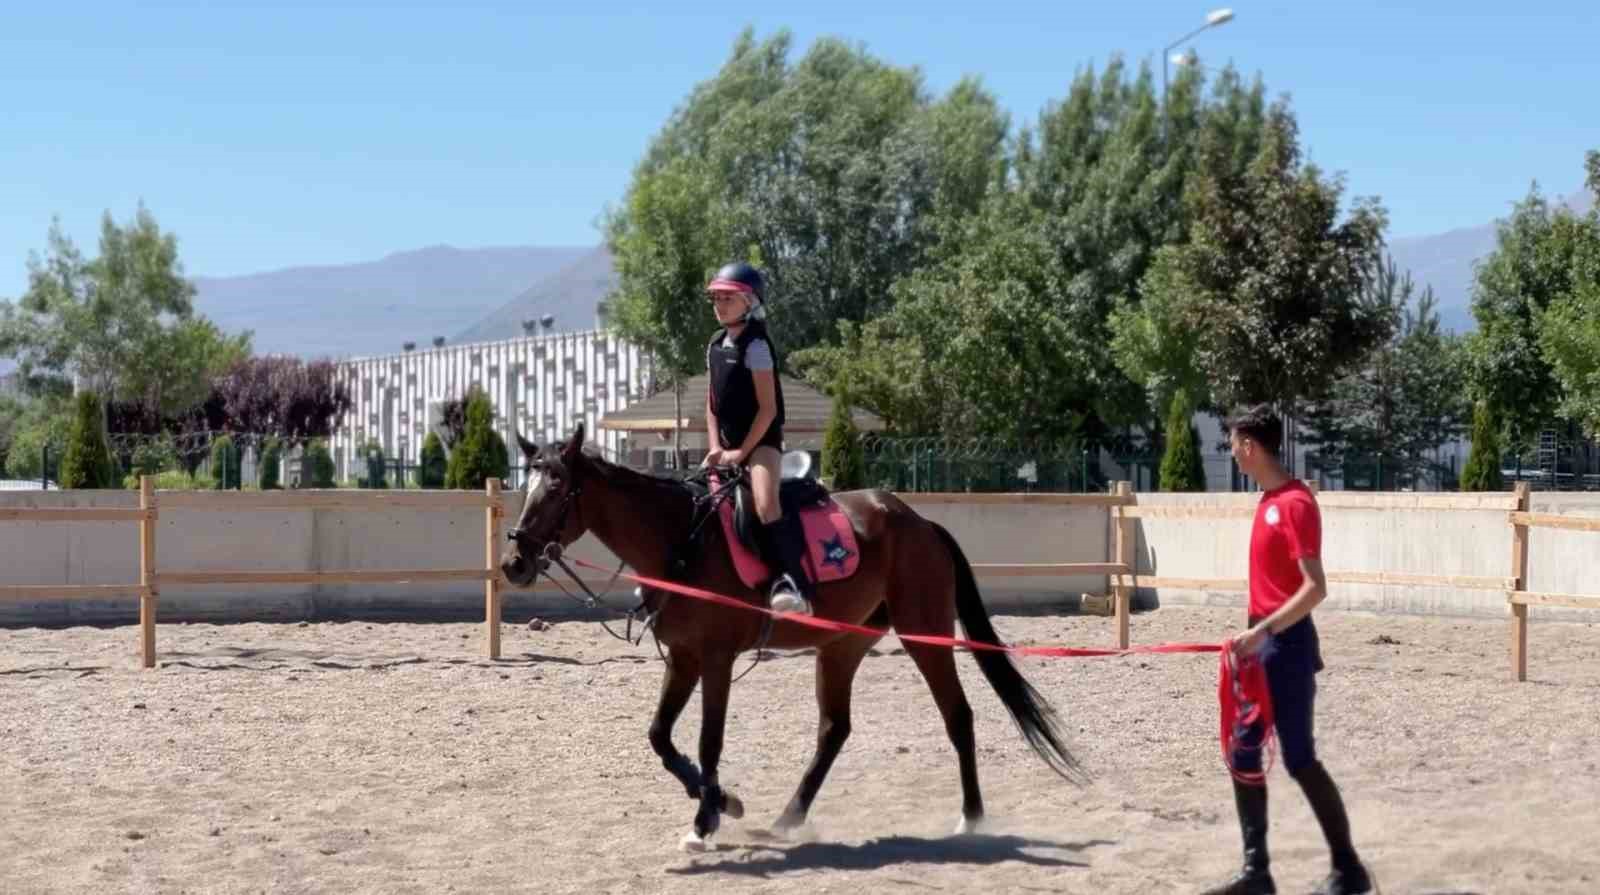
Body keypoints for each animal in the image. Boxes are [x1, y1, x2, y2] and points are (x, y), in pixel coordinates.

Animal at [499, 422, 1075, 851]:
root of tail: (918, 521)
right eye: (526, 488)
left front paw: (707, 819)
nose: (513, 562)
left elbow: (708, 740)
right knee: (834, 729)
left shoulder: (715, 658)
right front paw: (722, 803)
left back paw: (971, 819)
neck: (681, 539)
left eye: (556, 490)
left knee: (958, 716)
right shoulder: (683, 658)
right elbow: (660, 736)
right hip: (842, 645)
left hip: (923, 634)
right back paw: (789, 817)